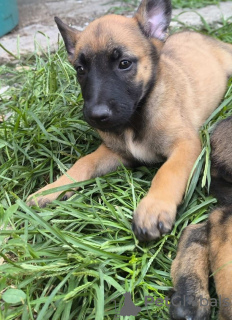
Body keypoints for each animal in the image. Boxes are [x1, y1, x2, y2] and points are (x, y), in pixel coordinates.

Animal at [26, 0, 232, 241]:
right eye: (80, 69)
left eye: (124, 63)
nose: (96, 116)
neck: (136, 118)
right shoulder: (116, 152)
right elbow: (84, 162)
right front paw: (52, 189)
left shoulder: (186, 145)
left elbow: (168, 171)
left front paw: (153, 207)